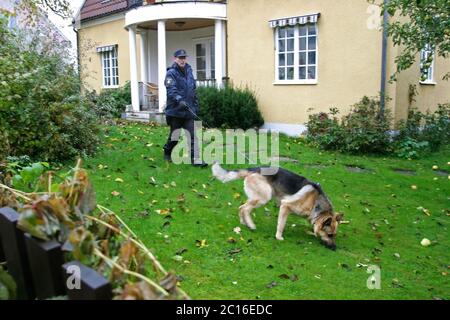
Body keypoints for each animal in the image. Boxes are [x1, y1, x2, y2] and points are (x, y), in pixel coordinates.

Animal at [213, 162, 342, 250]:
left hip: (256, 198)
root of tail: (255, 169)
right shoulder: (285, 206)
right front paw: (279, 237)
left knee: (241, 208)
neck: (315, 202)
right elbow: (281, 224)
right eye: (329, 235)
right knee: (245, 209)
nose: (335, 248)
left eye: (334, 235)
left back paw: (244, 222)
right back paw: (251, 225)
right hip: (264, 198)